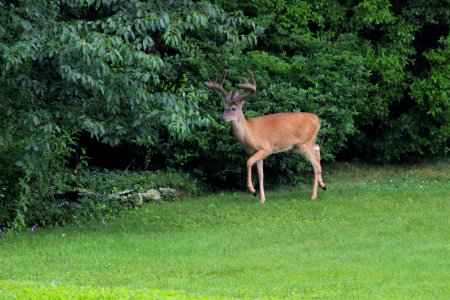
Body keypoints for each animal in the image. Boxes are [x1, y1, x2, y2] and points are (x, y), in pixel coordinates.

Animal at [206, 69, 326, 203]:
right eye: (224, 107)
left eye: (233, 108)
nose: (220, 119)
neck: (249, 132)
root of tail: (317, 119)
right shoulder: (257, 152)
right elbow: (261, 175)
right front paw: (262, 199)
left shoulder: (265, 148)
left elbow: (248, 162)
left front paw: (252, 191)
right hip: (299, 145)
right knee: (317, 148)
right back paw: (323, 185)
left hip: (303, 143)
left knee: (316, 164)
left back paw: (314, 195)